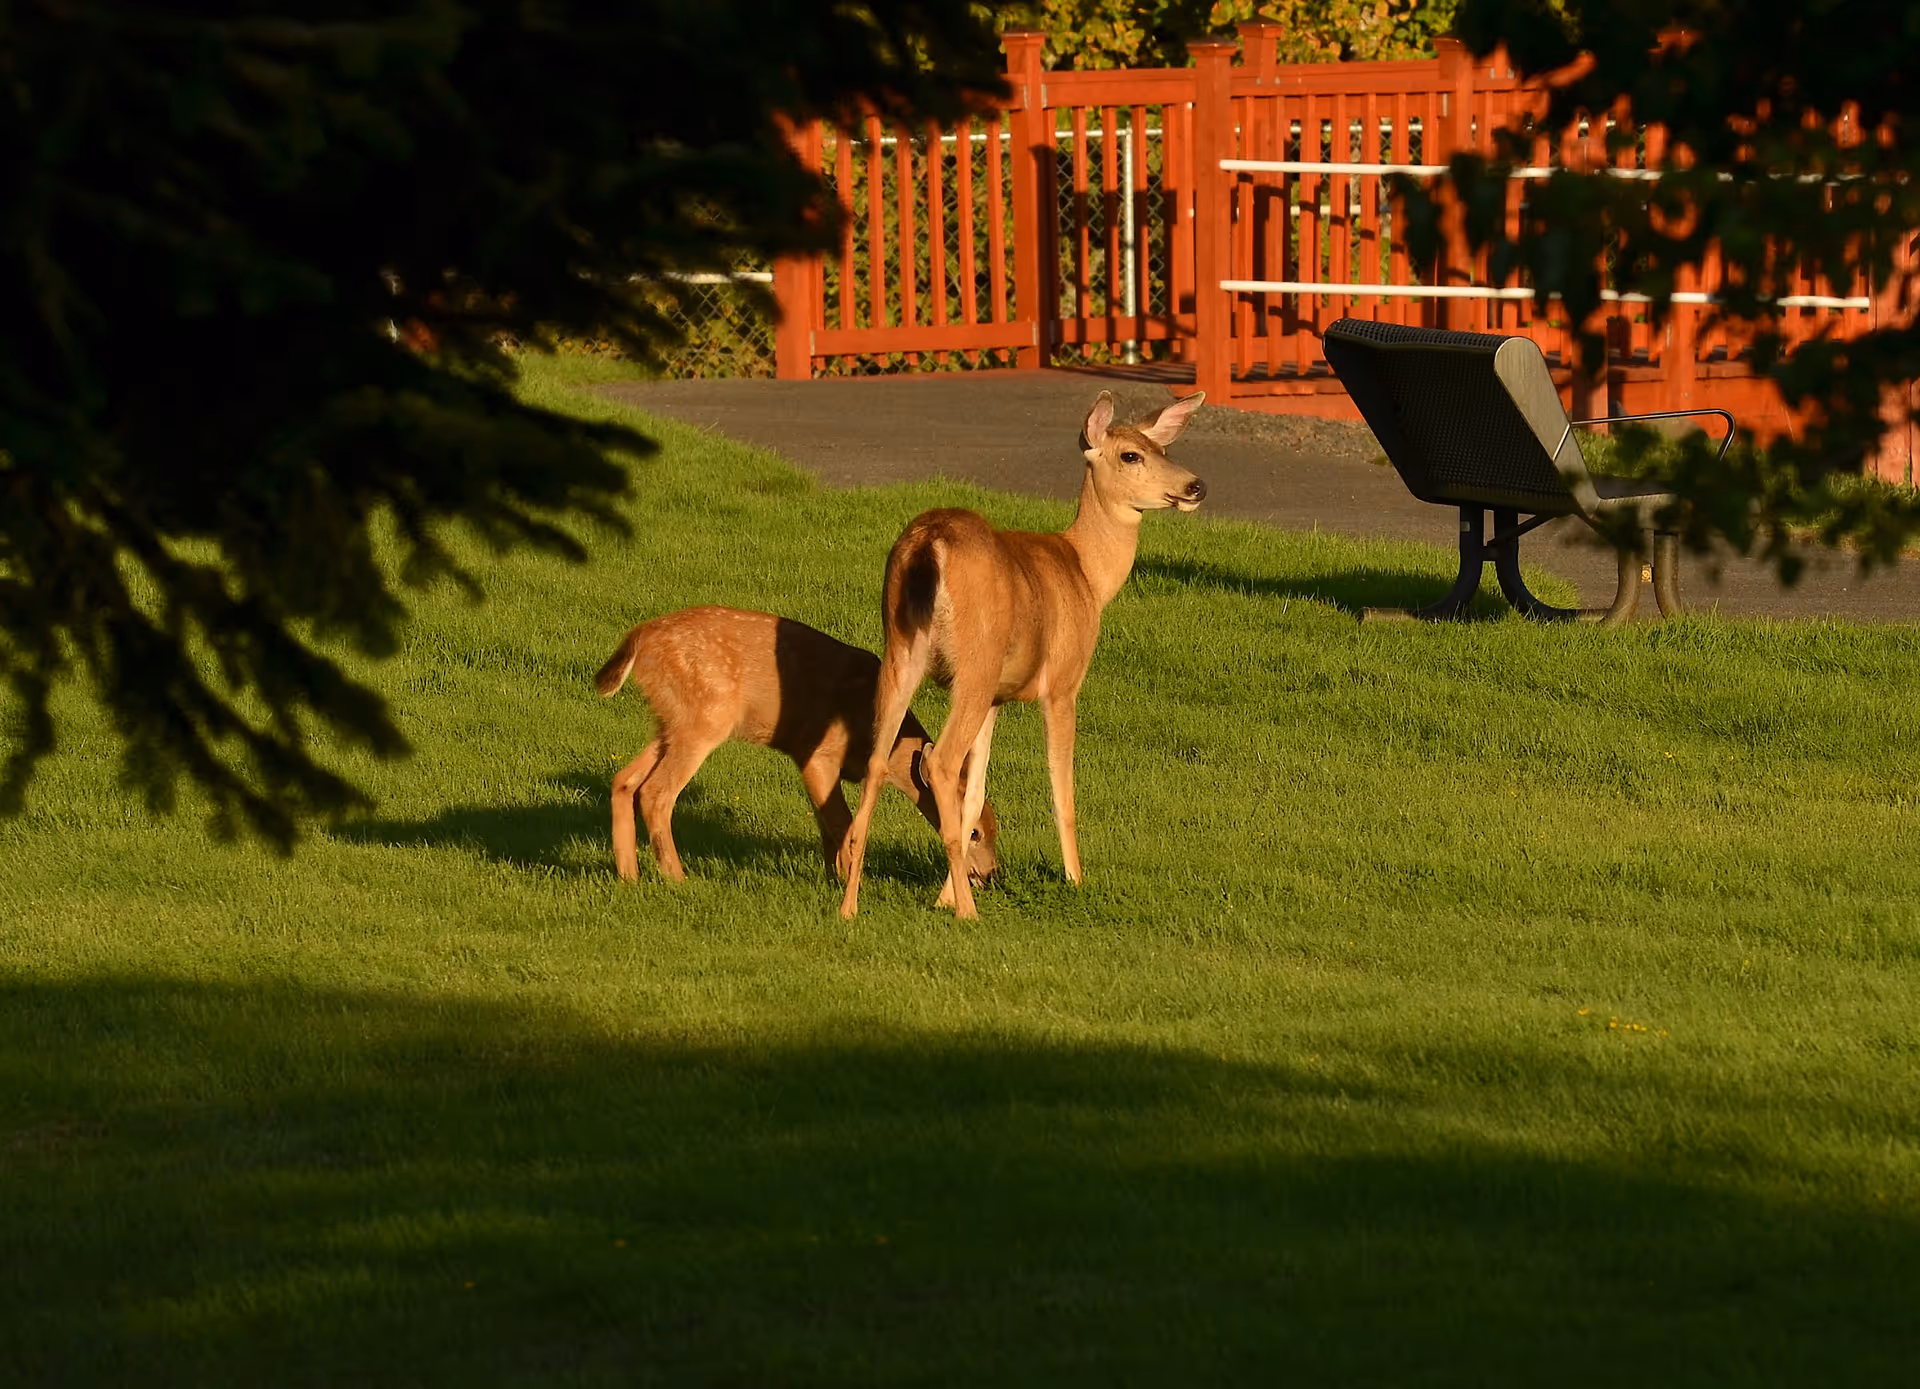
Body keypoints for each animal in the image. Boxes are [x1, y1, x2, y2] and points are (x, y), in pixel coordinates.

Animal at [594, 606, 1000, 885]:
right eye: (974, 832)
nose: (992, 874)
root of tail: (639, 639)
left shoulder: (810, 758)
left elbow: (826, 824)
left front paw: (833, 876)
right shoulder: (818, 753)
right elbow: (843, 824)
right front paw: (850, 883)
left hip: (671, 722)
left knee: (624, 779)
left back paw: (629, 875)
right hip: (703, 718)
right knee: (656, 792)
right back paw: (677, 878)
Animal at [837, 389, 1206, 920]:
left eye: (1164, 449)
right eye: (1130, 455)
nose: (1195, 486)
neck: (1088, 576)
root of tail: (930, 544)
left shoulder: (998, 697)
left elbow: (975, 792)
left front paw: (944, 896)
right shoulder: (1063, 683)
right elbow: (1061, 788)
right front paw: (1074, 879)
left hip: (901, 651)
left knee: (877, 761)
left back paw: (849, 907)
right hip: (976, 661)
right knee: (940, 762)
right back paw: (969, 914)